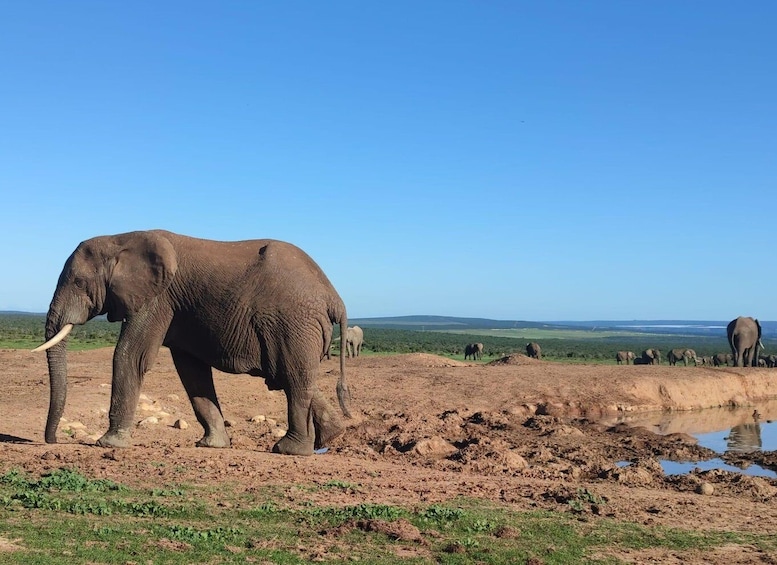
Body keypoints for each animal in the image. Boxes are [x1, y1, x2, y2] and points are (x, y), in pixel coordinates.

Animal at [31, 229, 352, 454]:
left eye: (78, 283)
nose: (52, 441)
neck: (120, 238)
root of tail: (334, 298)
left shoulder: (158, 298)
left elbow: (131, 355)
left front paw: (107, 444)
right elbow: (191, 371)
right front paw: (211, 445)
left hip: (294, 323)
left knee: (294, 379)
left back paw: (289, 449)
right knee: (292, 376)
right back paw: (330, 437)